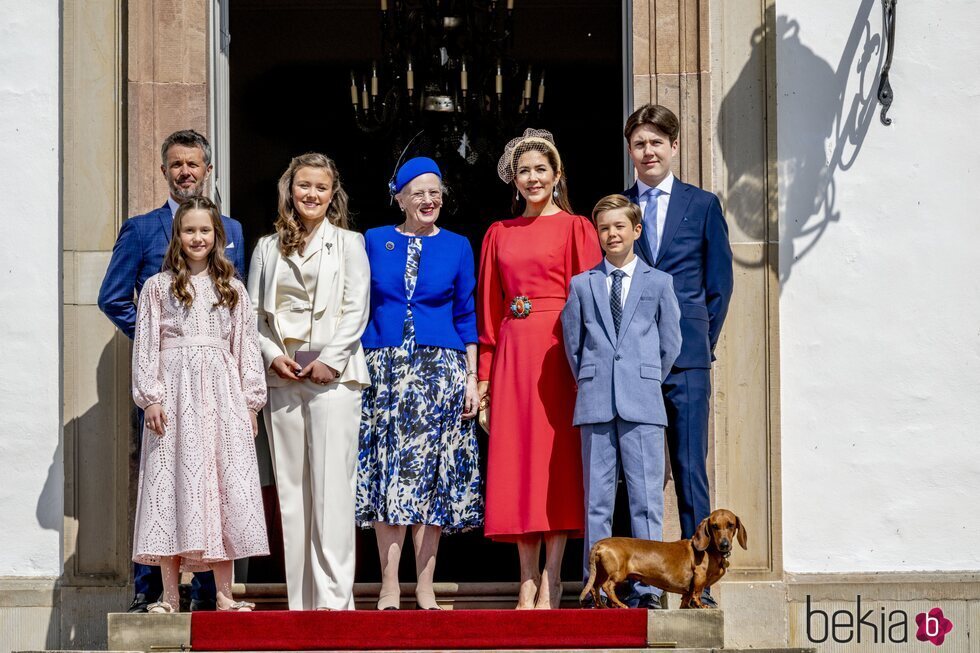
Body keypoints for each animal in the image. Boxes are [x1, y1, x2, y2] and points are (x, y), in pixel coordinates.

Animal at [580, 506, 748, 608]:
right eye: (714, 526)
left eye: (731, 525)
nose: (725, 545)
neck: (711, 550)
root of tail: (600, 543)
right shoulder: (699, 576)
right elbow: (697, 593)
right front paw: (701, 605)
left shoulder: (688, 590)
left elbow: (686, 598)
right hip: (617, 574)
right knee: (607, 587)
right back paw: (620, 605)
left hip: (601, 573)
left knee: (594, 588)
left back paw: (600, 606)